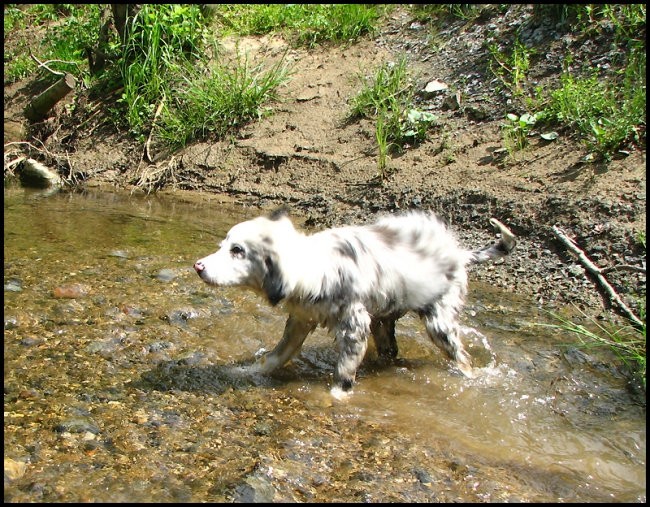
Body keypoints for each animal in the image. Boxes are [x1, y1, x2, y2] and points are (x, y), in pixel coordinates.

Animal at [192, 207, 516, 396]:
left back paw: (472, 377)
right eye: (224, 245)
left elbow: (344, 372)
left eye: (238, 250)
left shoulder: (354, 327)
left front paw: (338, 396)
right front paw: (246, 371)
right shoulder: (300, 320)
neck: (313, 266)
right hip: (383, 322)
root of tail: (460, 254)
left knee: (463, 358)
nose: (198, 266)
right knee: (391, 351)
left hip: (440, 323)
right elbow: (274, 356)